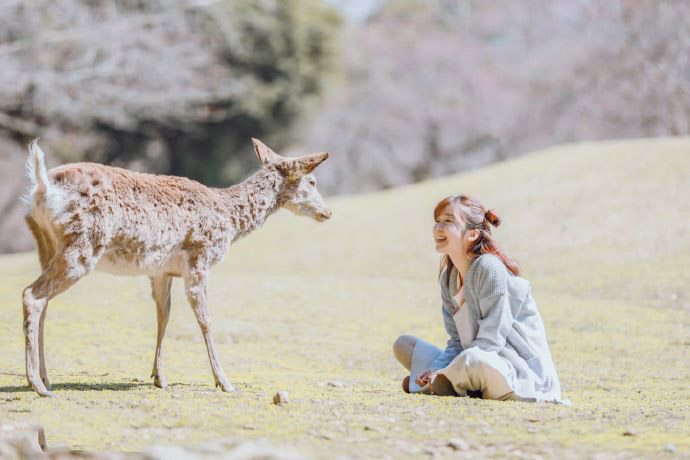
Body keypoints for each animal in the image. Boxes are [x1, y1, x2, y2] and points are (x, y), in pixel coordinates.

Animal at [21, 138, 330, 398]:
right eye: (312, 181)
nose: (327, 212)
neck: (230, 222)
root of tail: (42, 187)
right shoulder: (200, 259)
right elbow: (205, 320)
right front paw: (225, 382)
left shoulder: (161, 271)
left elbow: (164, 315)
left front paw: (159, 377)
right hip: (83, 245)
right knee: (32, 295)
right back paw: (38, 385)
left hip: (45, 245)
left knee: (43, 301)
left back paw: (43, 378)